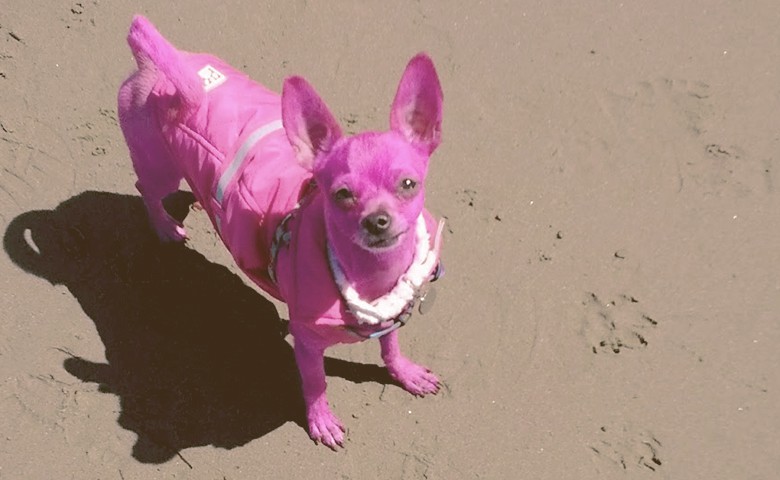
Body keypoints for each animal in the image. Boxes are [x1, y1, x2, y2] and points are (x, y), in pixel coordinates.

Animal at [116, 15, 444, 450]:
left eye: (408, 185)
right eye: (341, 195)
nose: (376, 220)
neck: (373, 278)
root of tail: (155, 69)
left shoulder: (390, 318)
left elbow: (389, 346)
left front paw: (403, 371)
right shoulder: (306, 343)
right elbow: (316, 381)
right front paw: (320, 419)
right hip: (159, 167)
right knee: (146, 189)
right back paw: (165, 226)